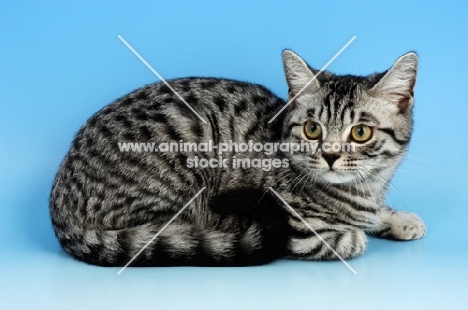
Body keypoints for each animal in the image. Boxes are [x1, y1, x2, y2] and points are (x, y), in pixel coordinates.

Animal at [49, 49, 426, 266]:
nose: (330, 155)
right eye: (312, 129)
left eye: (360, 132)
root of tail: (59, 207)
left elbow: (374, 214)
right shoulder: (297, 230)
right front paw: (361, 232)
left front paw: (397, 219)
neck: (363, 190)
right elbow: (348, 239)